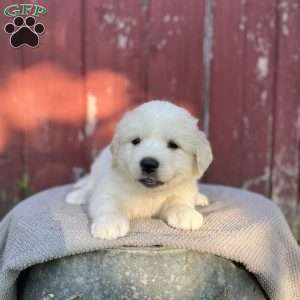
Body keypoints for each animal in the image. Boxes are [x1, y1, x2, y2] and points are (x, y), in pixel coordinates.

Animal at [67, 100, 213, 239]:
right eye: (136, 141)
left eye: (173, 145)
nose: (148, 164)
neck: (148, 192)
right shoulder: (107, 189)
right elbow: (109, 204)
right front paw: (109, 224)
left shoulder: (182, 190)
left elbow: (178, 200)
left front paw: (186, 213)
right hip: (97, 169)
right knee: (90, 185)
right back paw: (77, 196)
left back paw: (200, 198)